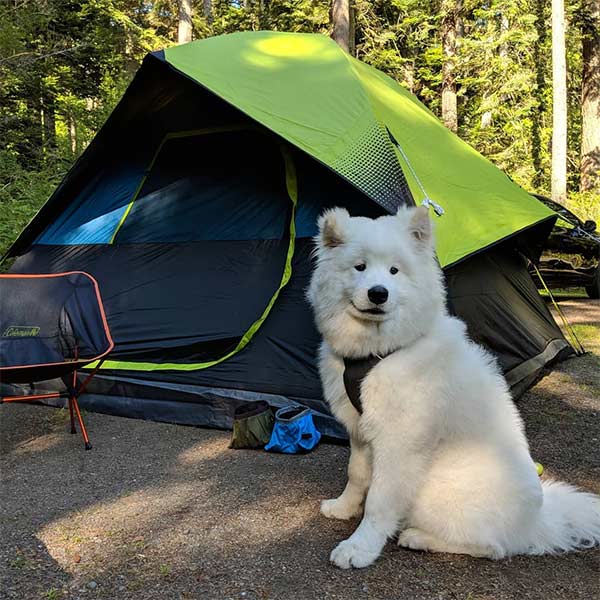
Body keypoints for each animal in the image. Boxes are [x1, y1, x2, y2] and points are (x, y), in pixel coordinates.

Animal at [310, 205, 600, 568]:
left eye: (394, 271)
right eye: (359, 266)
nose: (378, 293)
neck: (381, 351)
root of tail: (536, 522)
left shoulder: (397, 443)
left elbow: (379, 500)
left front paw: (359, 548)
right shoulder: (360, 430)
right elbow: (357, 474)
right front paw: (343, 508)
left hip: (437, 492)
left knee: (492, 547)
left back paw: (418, 538)